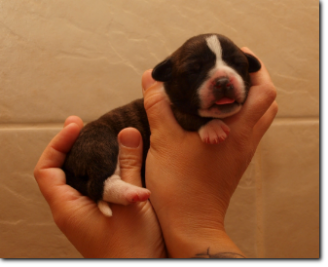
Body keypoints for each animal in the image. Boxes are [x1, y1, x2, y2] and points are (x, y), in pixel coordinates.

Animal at [62, 33, 262, 218]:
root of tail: (69, 164)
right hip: (100, 143)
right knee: (99, 182)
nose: (222, 81)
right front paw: (213, 127)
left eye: (238, 64)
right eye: (193, 71)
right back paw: (131, 192)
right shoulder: (173, 108)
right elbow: (188, 115)